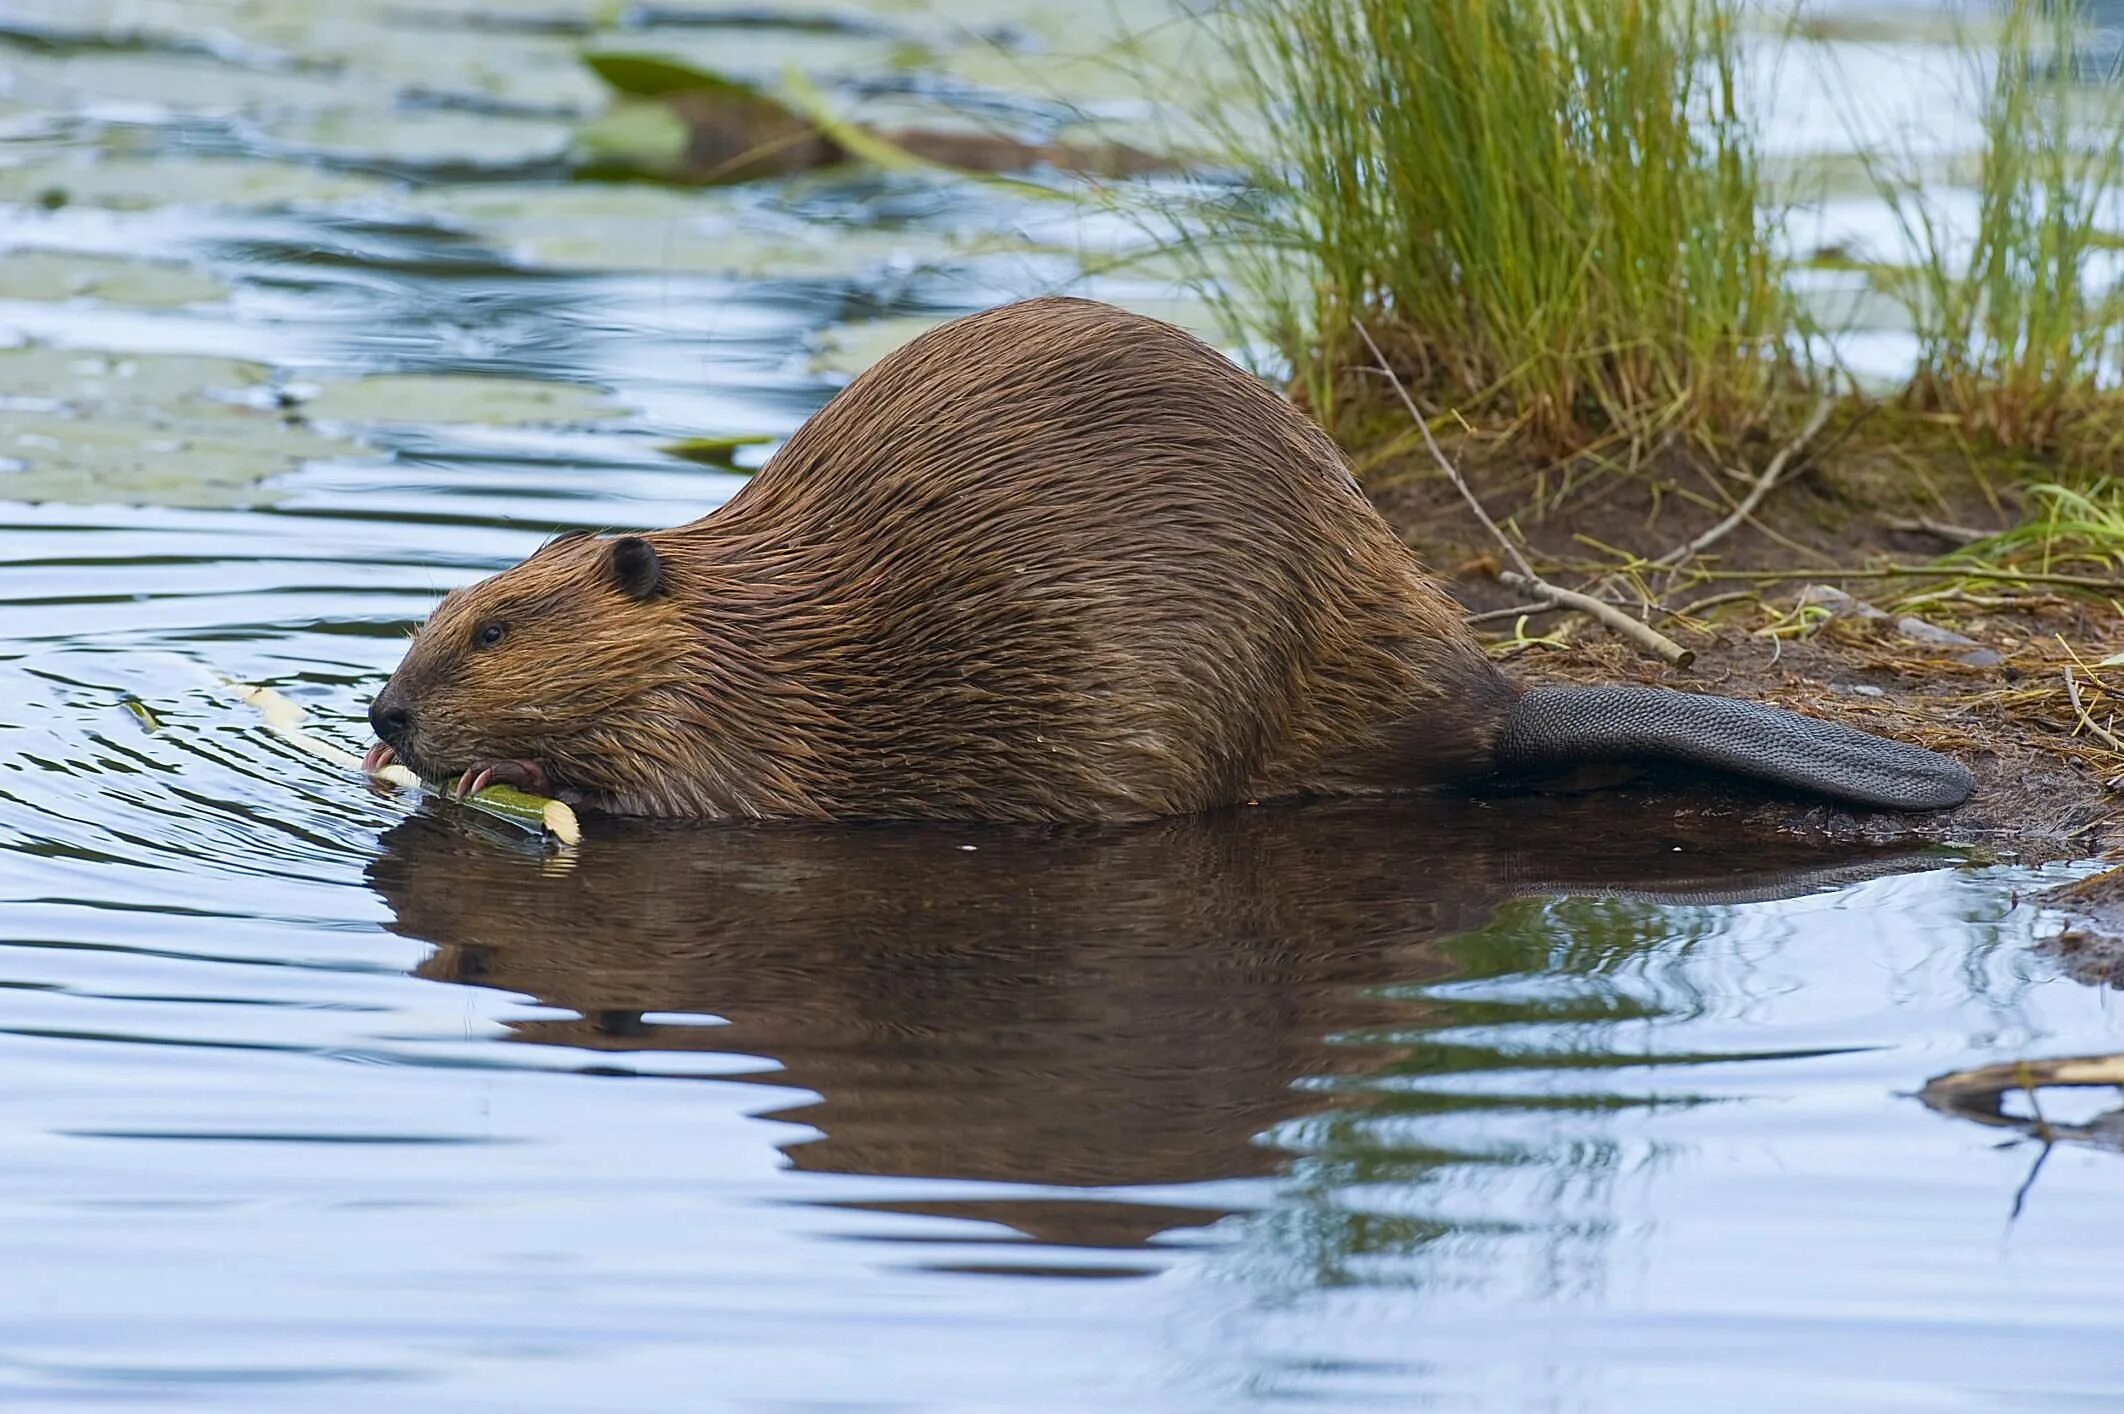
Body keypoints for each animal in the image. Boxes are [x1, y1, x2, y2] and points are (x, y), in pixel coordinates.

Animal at [365, 299, 1971, 828]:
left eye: (497, 630)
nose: (385, 708)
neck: (745, 618)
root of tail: (1496, 699)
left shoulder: (749, 720)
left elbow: (691, 797)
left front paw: (489, 773)